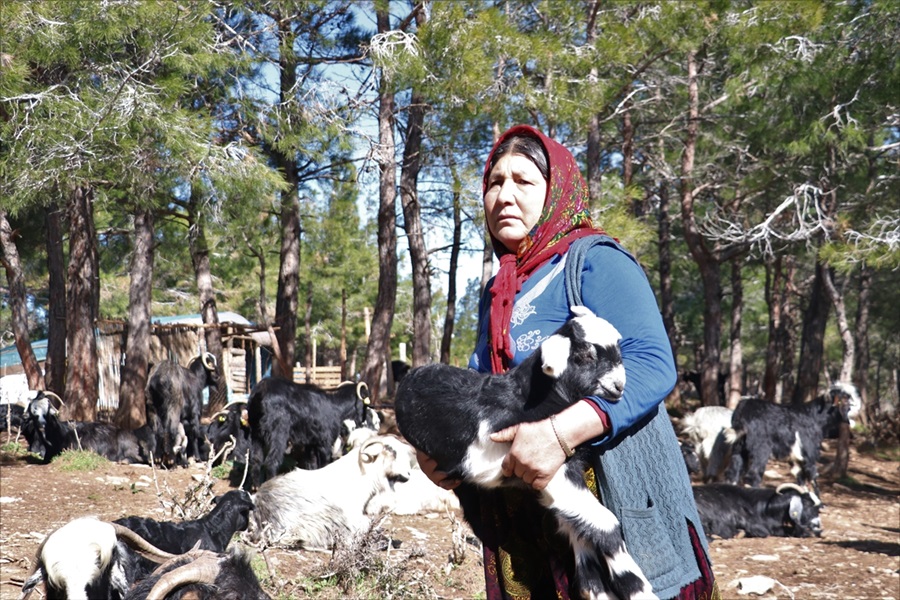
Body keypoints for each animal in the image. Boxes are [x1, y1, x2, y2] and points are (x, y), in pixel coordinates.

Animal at [394, 310, 652, 600]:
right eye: (585, 356)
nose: (618, 386)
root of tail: (410, 376)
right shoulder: (552, 468)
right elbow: (604, 524)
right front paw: (640, 591)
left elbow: (578, 526)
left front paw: (595, 590)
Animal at [720, 384, 856, 496]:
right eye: (845, 400)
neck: (815, 418)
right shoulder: (809, 454)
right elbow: (812, 477)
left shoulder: (795, 458)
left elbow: (800, 478)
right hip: (761, 449)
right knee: (752, 476)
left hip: (738, 448)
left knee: (733, 472)